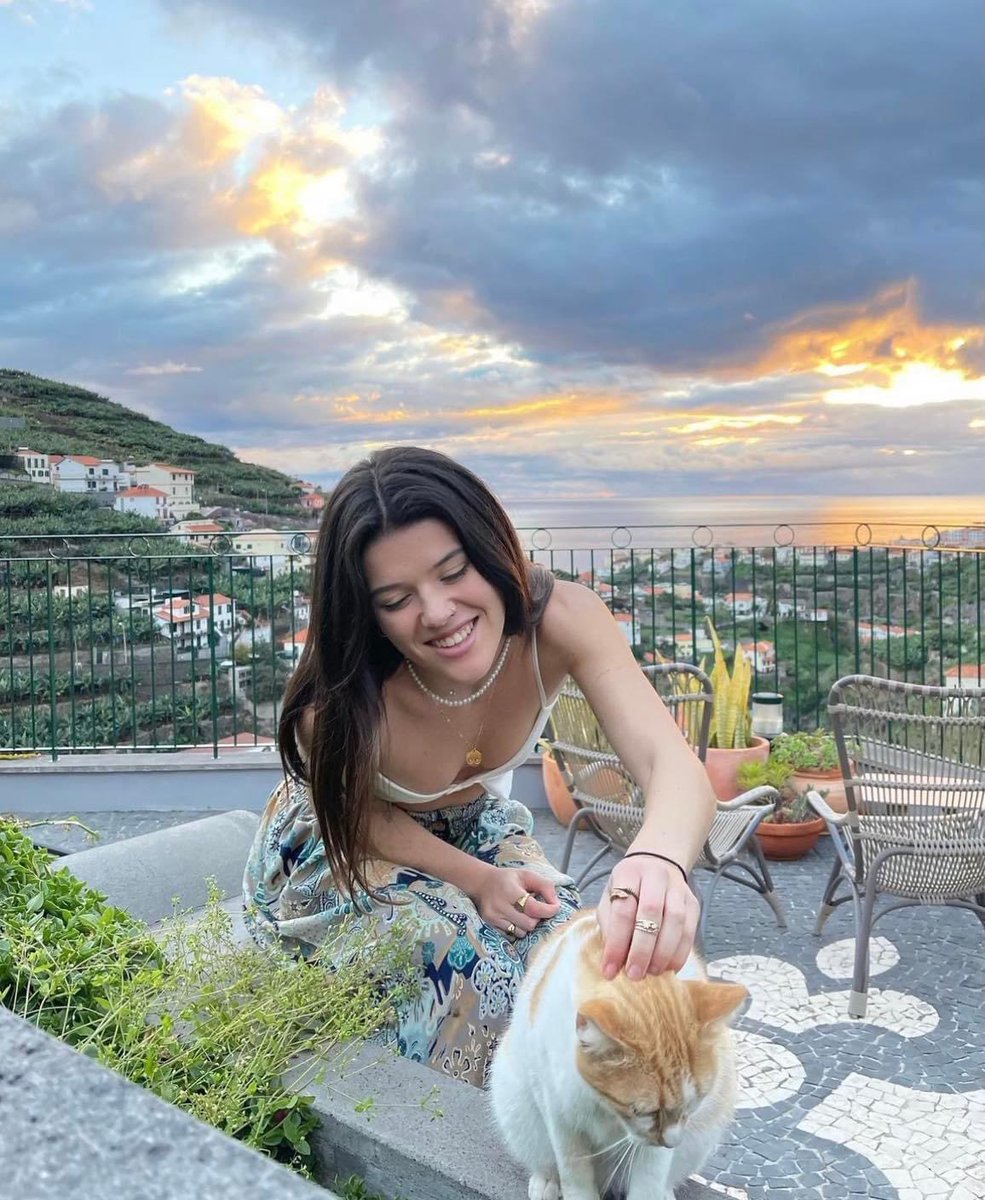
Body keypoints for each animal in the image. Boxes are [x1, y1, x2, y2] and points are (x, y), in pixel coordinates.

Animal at [491, 907, 743, 1200]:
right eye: (643, 1111)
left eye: (693, 1103)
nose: (672, 1142)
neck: (604, 1108)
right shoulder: (559, 1115)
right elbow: (573, 1170)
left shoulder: (656, 1149)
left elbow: (649, 1181)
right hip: (515, 1107)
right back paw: (547, 1182)